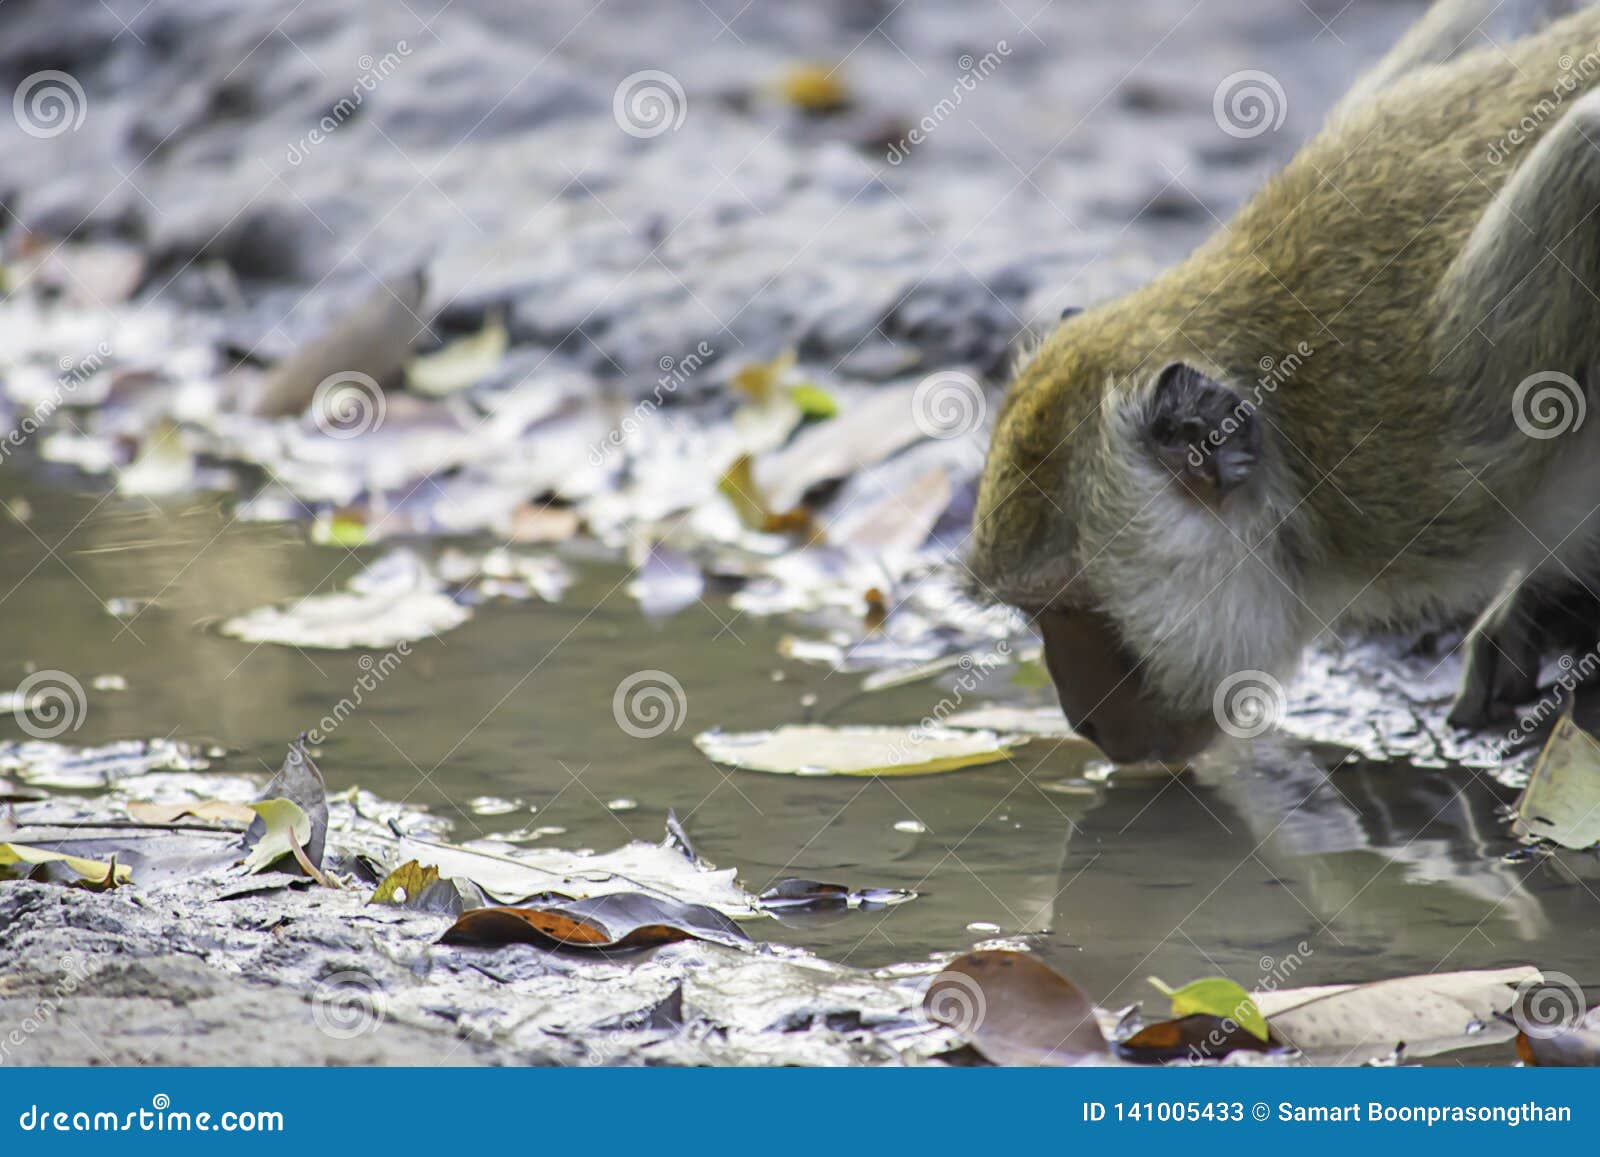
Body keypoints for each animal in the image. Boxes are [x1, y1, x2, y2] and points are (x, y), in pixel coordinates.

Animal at [967, 0, 1600, 763]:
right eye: (1033, 612)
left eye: (1067, 607)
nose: (1079, 719)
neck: (1302, 486)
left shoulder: (1434, 470)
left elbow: (1589, 145)